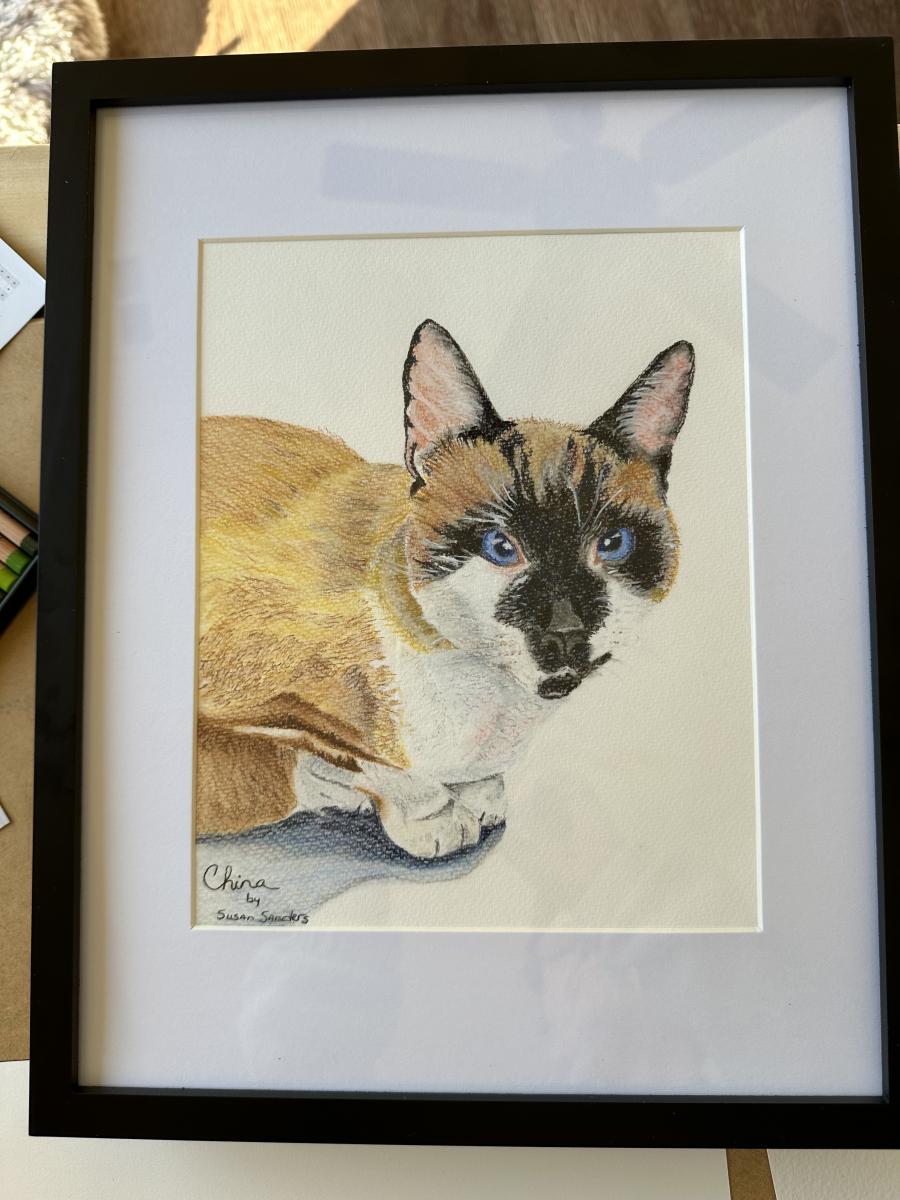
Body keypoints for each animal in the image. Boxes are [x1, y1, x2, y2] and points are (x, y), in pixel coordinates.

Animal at [196, 320, 694, 859]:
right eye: (501, 546)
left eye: (613, 544)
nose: (565, 630)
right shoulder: (255, 705)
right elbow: (361, 762)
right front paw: (434, 816)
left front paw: (476, 797)